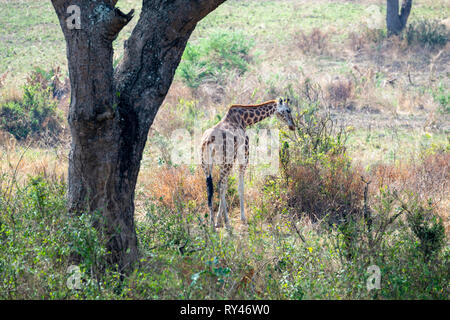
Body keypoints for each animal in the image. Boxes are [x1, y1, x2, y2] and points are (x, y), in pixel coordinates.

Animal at [200, 97, 296, 230]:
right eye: (288, 110)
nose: (293, 126)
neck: (244, 120)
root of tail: (208, 141)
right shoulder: (244, 156)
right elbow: (240, 187)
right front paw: (242, 218)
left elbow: (225, 187)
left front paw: (217, 221)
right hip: (227, 161)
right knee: (220, 185)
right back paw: (227, 223)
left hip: (206, 164)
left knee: (211, 187)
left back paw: (211, 225)